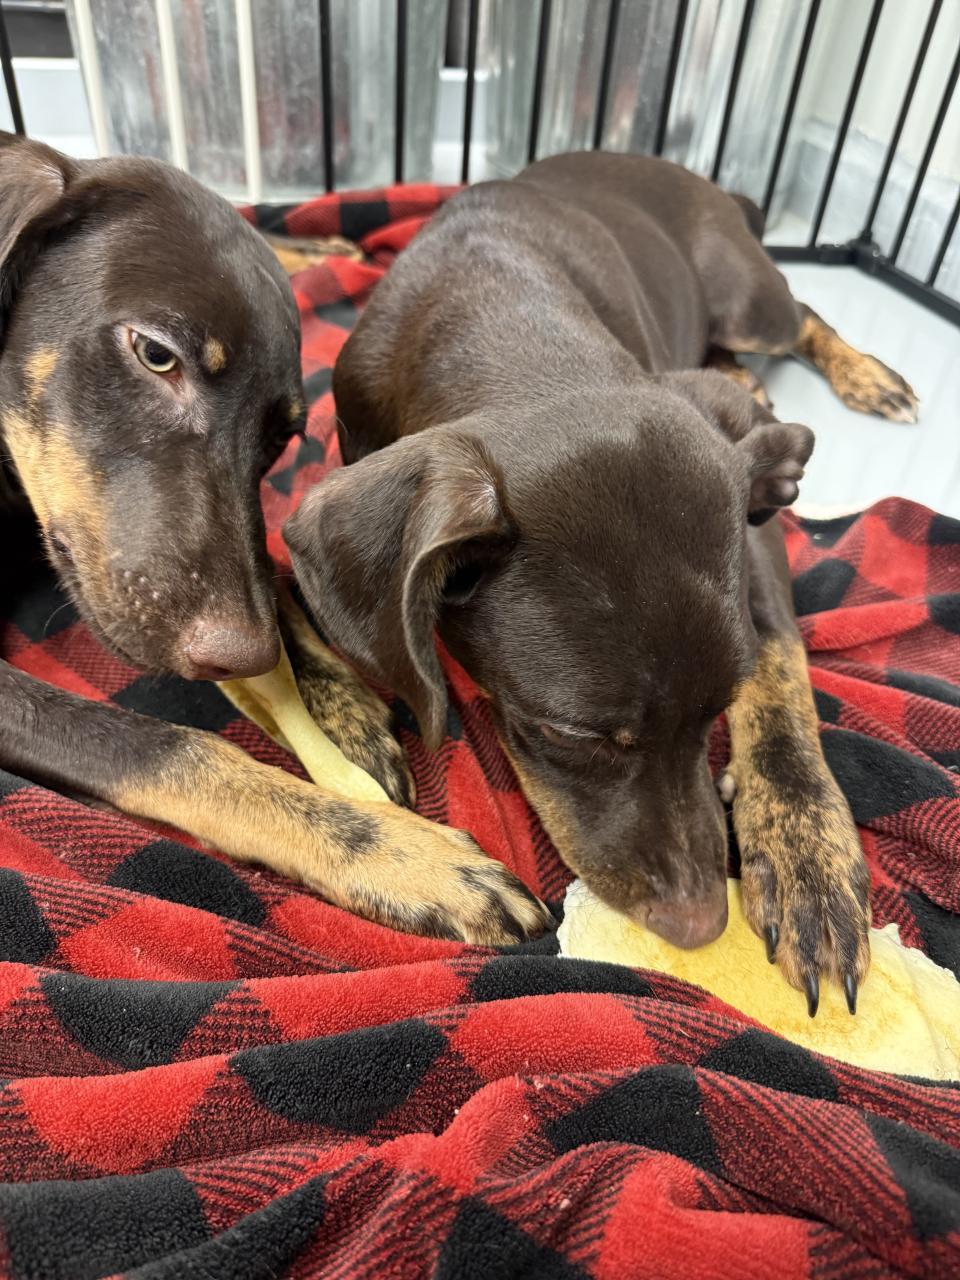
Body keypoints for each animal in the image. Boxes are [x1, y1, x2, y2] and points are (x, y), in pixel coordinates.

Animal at [0, 131, 553, 947]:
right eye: (156, 353)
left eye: (279, 439)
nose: (241, 656)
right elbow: (169, 746)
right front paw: (396, 851)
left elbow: (274, 570)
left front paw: (345, 710)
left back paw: (322, 239)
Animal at [285, 152, 919, 1014]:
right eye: (573, 734)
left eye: (718, 709)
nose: (699, 927)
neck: (511, 326)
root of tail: (706, 183)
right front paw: (347, 715)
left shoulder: (755, 535)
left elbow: (782, 675)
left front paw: (805, 855)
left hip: (751, 301)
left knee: (803, 310)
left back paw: (862, 374)